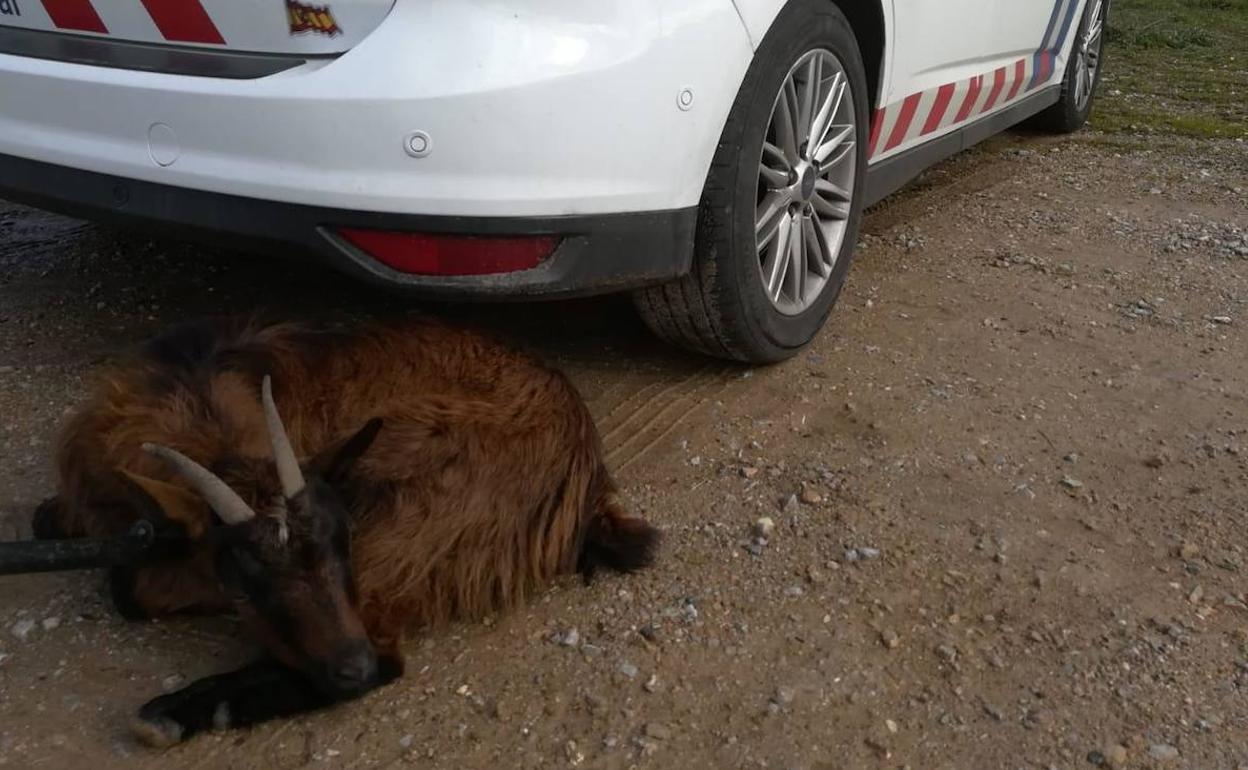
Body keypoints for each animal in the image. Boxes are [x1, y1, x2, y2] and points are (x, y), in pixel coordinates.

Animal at [31, 317, 658, 746]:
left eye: (342, 544)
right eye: (247, 578)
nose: (351, 664)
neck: (188, 388)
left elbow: (132, 590)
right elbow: (47, 524)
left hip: (404, 503)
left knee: (386, 658)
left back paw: (173, 713)